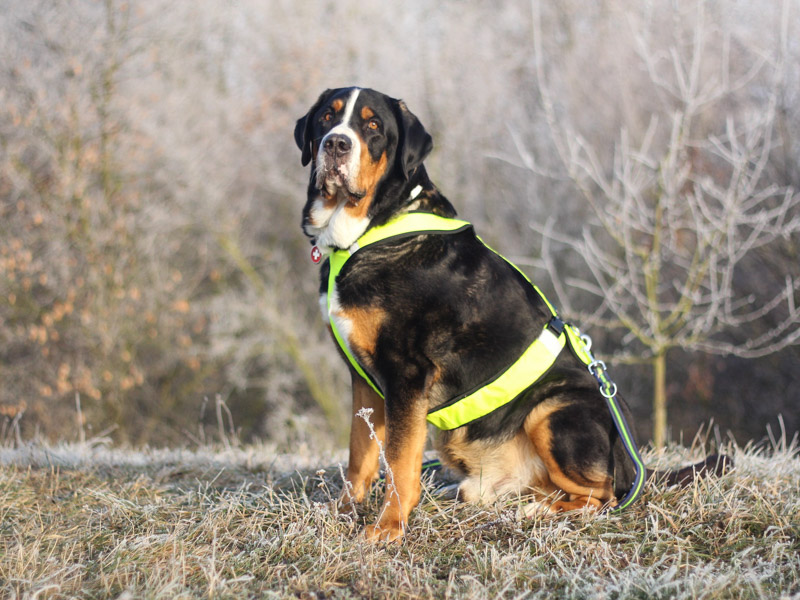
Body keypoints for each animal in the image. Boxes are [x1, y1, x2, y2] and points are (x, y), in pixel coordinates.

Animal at [294, 86, 732, 540]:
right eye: (327, 117)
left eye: (373, 125)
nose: (336, 144)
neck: (367, 233)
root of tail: (636, 464)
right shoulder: (364, 378)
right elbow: (360, 453)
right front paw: (343, 512)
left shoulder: (406, 373)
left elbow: (398, 462)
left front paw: (387, 528)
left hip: (553, 411)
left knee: (604, 495)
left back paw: (537, 511)